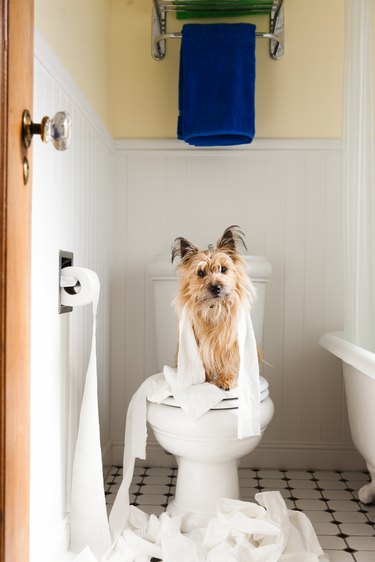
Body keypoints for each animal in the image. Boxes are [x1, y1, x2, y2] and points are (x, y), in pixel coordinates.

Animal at [172, 225, 258, 388]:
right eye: (200, 272)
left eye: (223, 269)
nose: (216, 287)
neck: (214, 308)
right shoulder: (198, 342)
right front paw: (203, 380)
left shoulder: (231, 341)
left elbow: (229, 360)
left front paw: (226, 379)